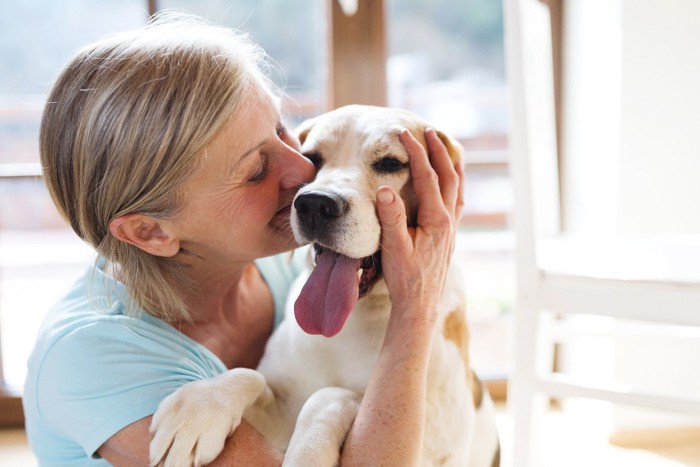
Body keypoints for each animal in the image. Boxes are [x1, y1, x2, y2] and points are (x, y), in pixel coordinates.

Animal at [150, 106, 500, 467]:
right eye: (311, 158)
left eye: (391, 163)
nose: (316, 204)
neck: (352, 321)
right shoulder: (280, 411)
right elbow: (250, 375)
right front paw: (201, 405)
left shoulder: (434, 436)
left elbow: (330, 395)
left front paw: (308, 452)